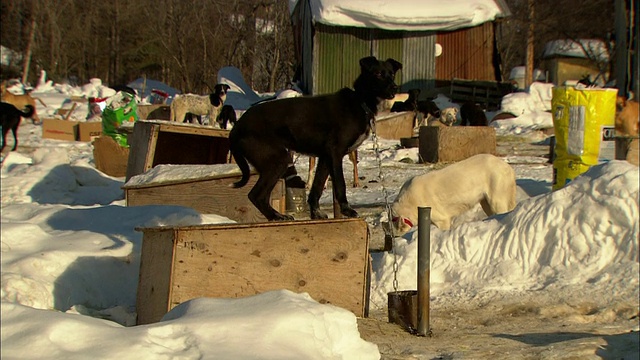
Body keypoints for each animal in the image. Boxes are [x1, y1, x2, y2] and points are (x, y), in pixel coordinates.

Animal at [229, 56, 400, 221]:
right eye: (378, 74)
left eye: (391, 74)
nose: (395, 88)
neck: (360, 102)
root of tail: (238, 126)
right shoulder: (335, 153)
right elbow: (340, 184)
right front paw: (346, 210)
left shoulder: (325, 157)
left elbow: (316, 188)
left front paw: (316, 213)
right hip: (278, 160)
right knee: (256, 195)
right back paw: (275, 217)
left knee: (259, 196)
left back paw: (276, 216)